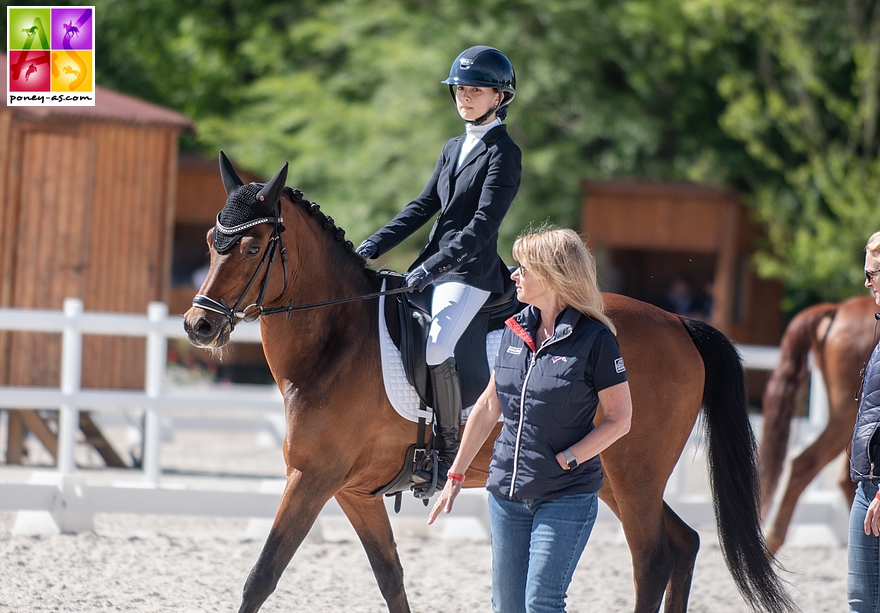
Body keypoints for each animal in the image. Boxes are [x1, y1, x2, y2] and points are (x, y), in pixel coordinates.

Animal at [184, 155, 792, 608]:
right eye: (213, 240)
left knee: (653, 558)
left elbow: (262, 576)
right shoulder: (353, 490)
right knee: (683, 544)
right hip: (612, 478)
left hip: (635, 474)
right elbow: (391, 579)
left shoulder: (312, 478)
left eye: (254, 247)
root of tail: (677, 323)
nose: (198, 325)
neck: (336, 340)